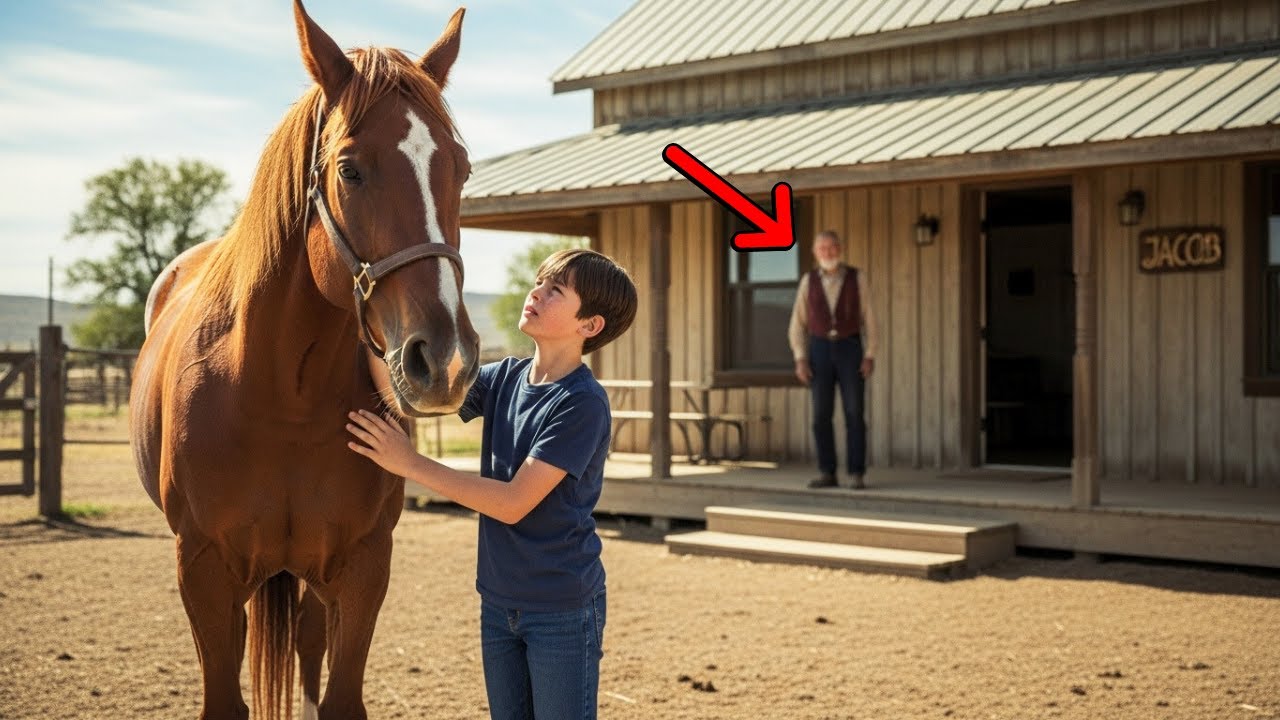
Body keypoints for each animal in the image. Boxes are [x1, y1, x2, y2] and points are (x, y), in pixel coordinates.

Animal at [129, 3, 479, 718]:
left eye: (460, 168)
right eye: (349, 169)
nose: (447, 362)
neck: (282, 395)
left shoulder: (363, 566)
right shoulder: (203, 570)